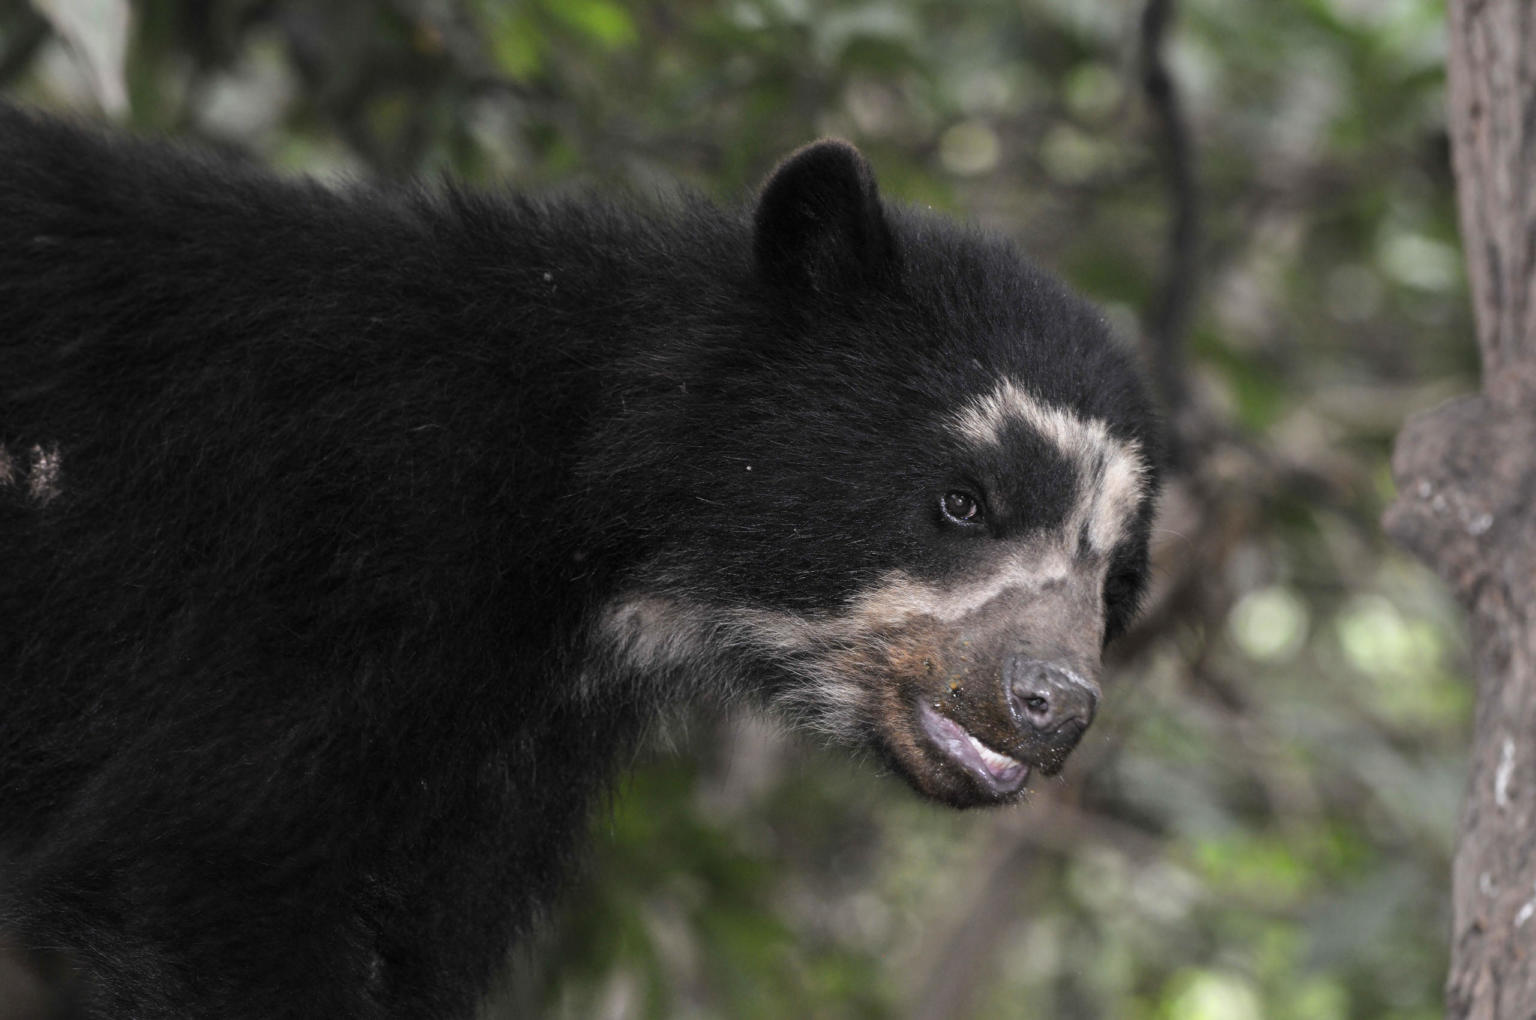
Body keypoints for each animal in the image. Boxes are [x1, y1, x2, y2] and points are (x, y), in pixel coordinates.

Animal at [0, 105, 1155, 1020]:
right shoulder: (339, 569)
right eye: (964, 500)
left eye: (1117, 588)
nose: (1053, 704)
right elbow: (205, 861)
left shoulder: (505, 753)